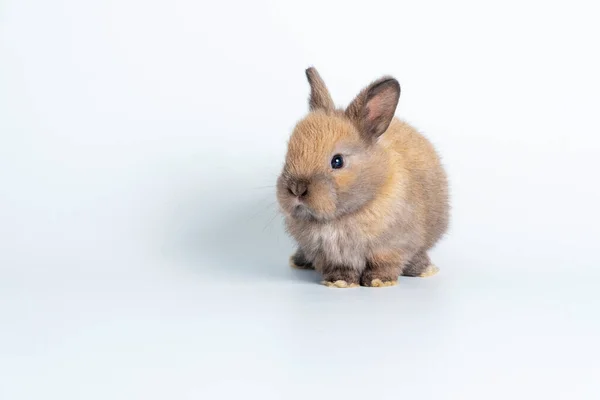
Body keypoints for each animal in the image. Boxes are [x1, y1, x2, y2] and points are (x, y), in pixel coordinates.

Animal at [274, 68, 448, 288]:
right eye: (289, 153)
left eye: (337, 161)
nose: (297, 189)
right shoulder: (327, 256)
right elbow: (339, 268)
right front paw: (340, 282)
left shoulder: (392, 247)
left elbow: (384, 264)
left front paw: (378, 281)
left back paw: (424, 269)